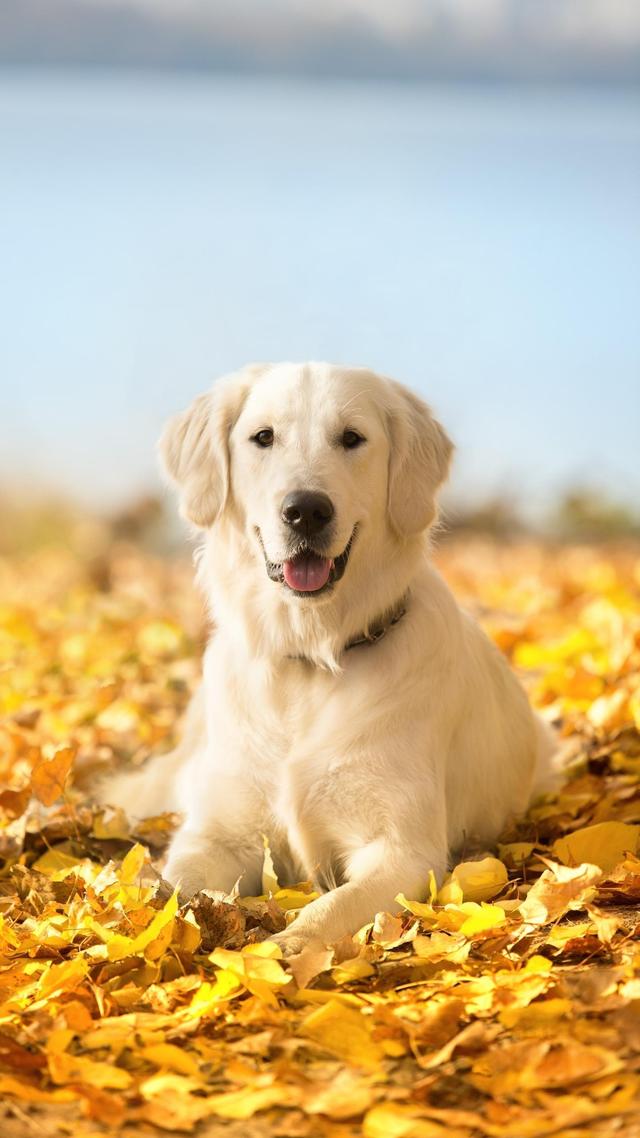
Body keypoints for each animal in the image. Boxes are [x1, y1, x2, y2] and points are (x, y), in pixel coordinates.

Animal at [98, 361, 553, 951]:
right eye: (263, 437)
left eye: (352, 438)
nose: (306, 510)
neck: (310, 660)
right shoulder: (222, 834)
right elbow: (171, 887)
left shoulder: (402, 850)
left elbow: (330, 907)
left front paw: (284, 950)